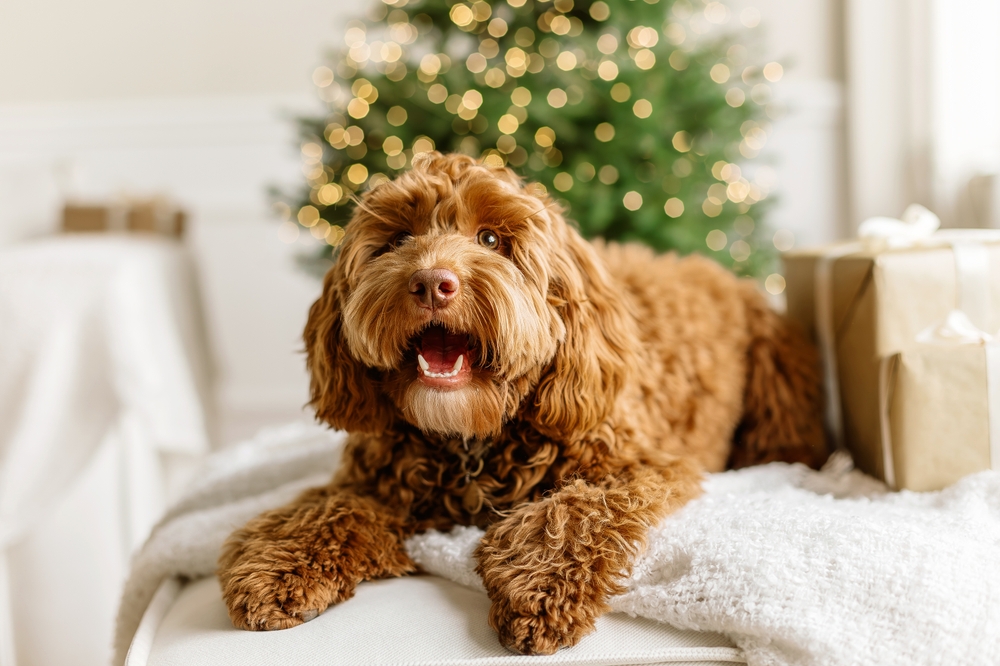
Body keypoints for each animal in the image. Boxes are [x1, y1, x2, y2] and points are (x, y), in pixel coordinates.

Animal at [219, 152, 828, 652]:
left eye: (490, 239)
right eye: (396, 239)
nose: (432, 283)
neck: (472, 441)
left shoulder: (637, 466)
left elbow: (574, 510)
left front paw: (538, 588)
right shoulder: (374, 482)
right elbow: (325, 509)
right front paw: (275, 567)